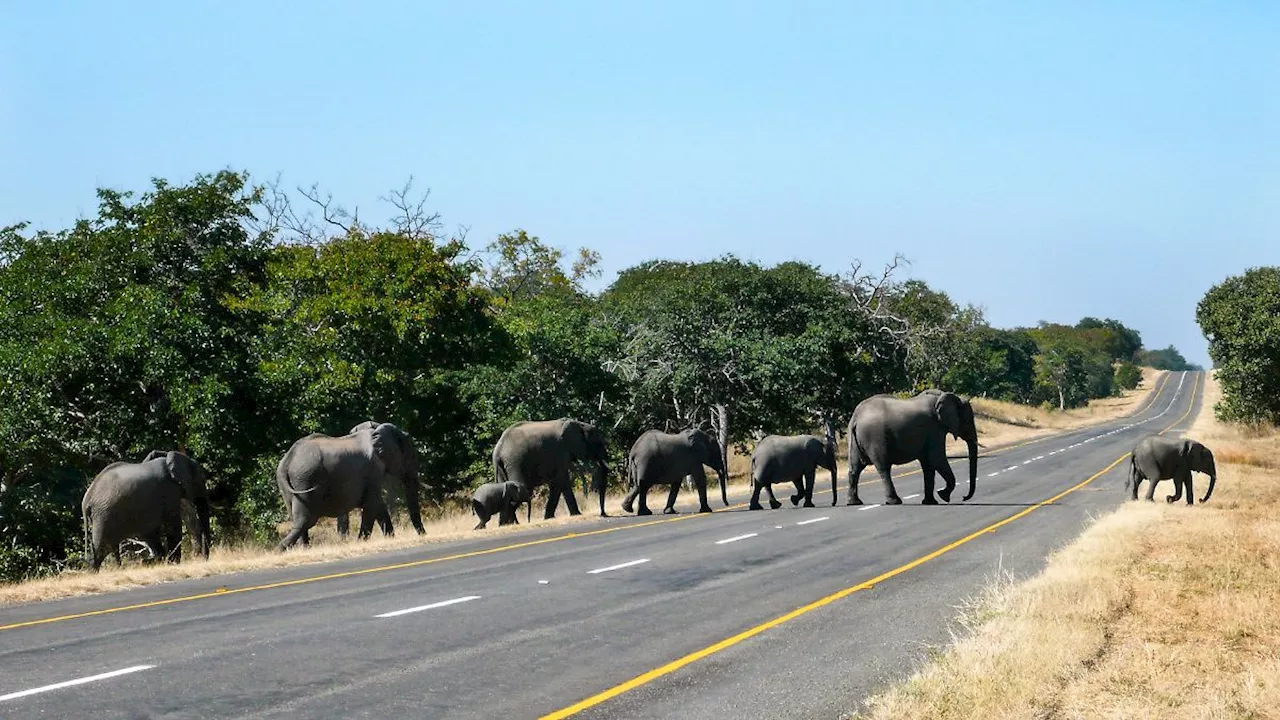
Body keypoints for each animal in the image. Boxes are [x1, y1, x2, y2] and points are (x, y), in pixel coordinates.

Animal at [81, 448, 211, 571]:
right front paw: (173, 563)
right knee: (103, 548)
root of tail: (86, 499)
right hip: (103, 515)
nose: (204, 559)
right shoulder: (169, 490)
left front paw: (162, 561)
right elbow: (173, 525)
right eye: (202, 479)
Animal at [276, 420, 424, 548]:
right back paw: (280, 550)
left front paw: (390, 539)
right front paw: (361, 543)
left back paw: (303, 549)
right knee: (305, 521)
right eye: (412, 456)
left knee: (299, 521)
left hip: (290, 485)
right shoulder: (374, 470)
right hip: (305, 478)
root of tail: (287, 460)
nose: (423, 534)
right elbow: (372, 504)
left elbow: (378, 506)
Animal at [849, 386, 977, 504]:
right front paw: (943, 495)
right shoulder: (934, 429)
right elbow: (936, 459)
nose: (964, 498)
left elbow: (928, 464)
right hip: (875, 437)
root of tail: (856, 417)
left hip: (855, 440)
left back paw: (854, 502)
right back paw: (894, 501)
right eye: (968, 421)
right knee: (884, 468)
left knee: (855, 468)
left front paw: (930, 502)